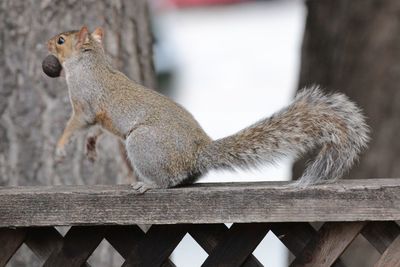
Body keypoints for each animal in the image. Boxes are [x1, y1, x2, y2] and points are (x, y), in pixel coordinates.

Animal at [46, 26, 368, 194]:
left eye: (61, 40)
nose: (47, 42)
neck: (90, 63)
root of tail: (197, 152)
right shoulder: (97, 117)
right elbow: (95, 131)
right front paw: (89, 147)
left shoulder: (85, 103)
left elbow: (76, 124)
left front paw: (60, 147)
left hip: (142, 143)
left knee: (168, 181)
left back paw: (148, 185)